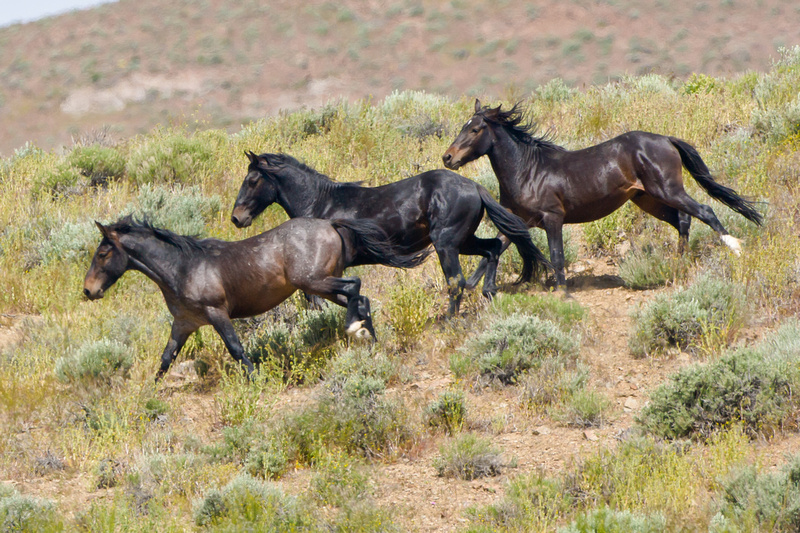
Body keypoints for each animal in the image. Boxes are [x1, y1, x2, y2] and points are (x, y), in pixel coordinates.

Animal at [83, 215, 428, 378]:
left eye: (103, 253)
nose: (88, 290)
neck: (183, 267)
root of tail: (330, 223)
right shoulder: (184, 323)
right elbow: (166, 359)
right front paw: (150, 396)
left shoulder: (216, 313)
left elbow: (236, 349)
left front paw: (255, 379)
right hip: (320, 286)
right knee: (361, 298)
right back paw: (369, 339)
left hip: (315, 282)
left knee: (355, 286)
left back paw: (354, 330)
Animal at [230, 152, 552, 314]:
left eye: (252, 179)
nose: (237, 218)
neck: (321, 203)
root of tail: (474, 187)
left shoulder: (325, 271)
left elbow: (318, 299)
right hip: (463, 241)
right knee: (493, 248)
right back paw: (489, 293)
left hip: (447, 244)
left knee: (456, 282)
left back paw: (449, 319)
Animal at [444, 100, 764, 290]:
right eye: (463, 127)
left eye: (475, 129)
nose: (448, 158)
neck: (528, 170)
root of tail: (666, 139)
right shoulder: (519, 221)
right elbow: (495, 249)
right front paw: (468, 287)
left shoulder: (552, 218)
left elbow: (557, 257)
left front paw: (562, 293)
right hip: (648, 199)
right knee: (684, 221)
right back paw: (678, 264)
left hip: (667, 191)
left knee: (704, 212)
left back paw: (736, 249)